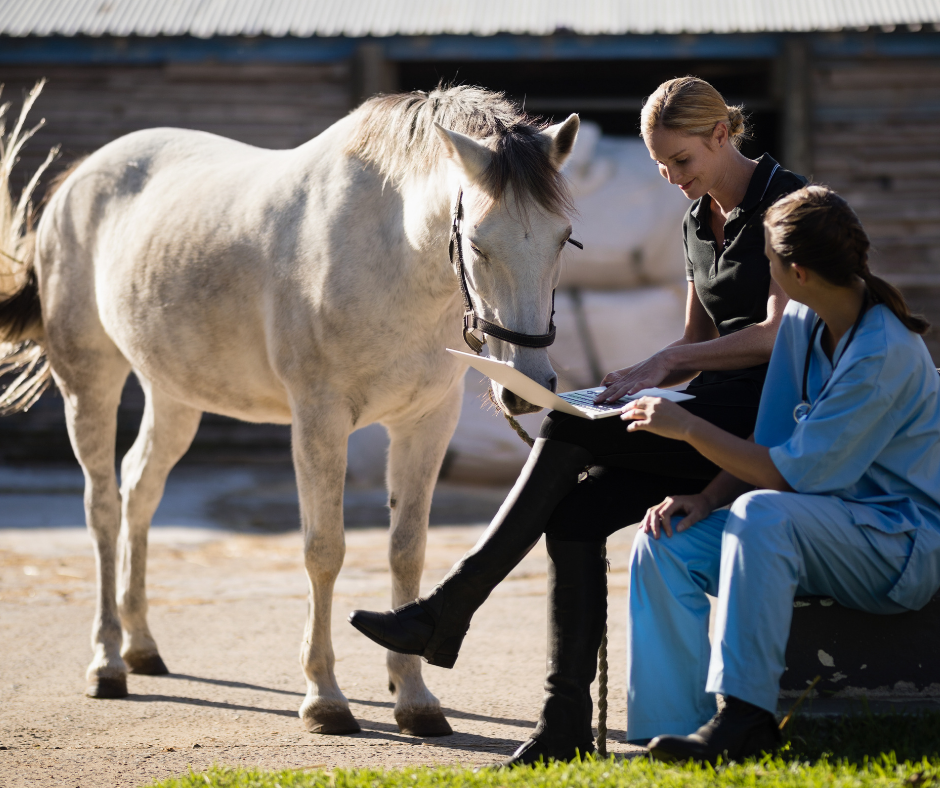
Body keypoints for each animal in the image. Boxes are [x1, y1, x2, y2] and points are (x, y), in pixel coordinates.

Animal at [0, 83, 579, 736]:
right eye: (478, 242)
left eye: (562, 237)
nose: (527, 388)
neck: (389, 251)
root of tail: (77, 180)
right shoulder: (320, 420)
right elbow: (324, 550)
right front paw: (324, 698)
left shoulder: (426, 422)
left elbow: (406, 552)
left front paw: (414, 699)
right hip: (89, 382)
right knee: (101, 508)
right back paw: (106, 664)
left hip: (173, 396)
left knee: (138, 492)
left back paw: (141, 647)